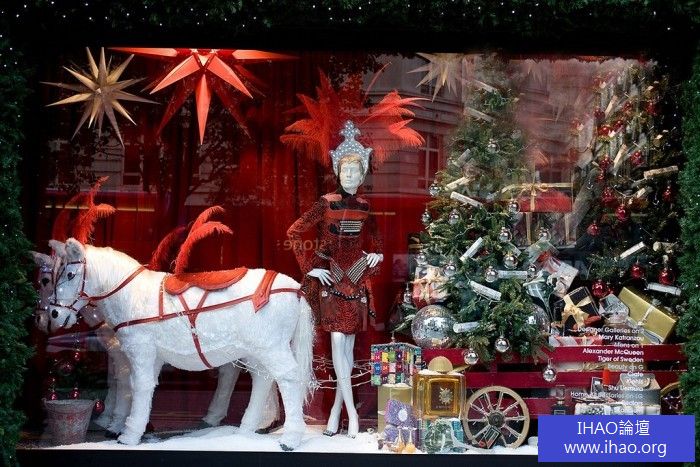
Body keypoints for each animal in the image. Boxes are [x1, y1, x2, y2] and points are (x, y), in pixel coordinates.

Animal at [46, 238, 314, 450]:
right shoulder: (149, 357)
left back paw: (290, 439)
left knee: (289, 378)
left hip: (272, 347)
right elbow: (140, 388)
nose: (54, 314)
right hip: (255, 351)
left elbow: (138, 387)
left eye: (69, 275)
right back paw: (244, 431)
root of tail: (295, 289)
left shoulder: (140, 351)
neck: (132, 296)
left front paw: (128, 435)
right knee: (263, 380)